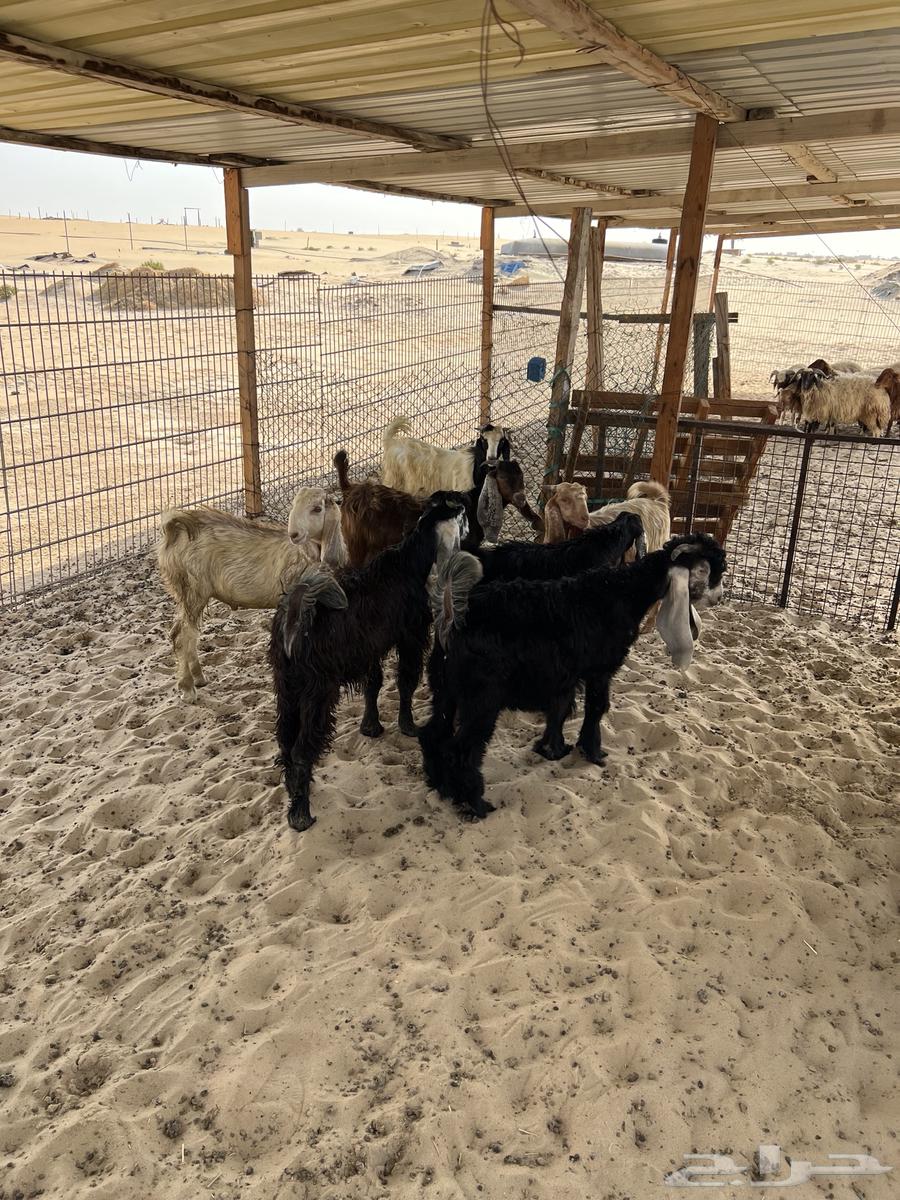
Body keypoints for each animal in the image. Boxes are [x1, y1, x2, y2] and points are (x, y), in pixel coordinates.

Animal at [158, 489, 345, 701]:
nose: (294, 534)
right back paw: (187, 687)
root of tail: (176, 526)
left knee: (185, 633)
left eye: (317, 508)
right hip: (193, 589)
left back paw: (198, 677)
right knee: (183, 635)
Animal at [270, 497, 468, 831]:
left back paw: (296, 790)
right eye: (462, 517)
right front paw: (408, 726)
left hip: (287, 688)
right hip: (317, 691)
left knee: (285, 741)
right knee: (301, 750)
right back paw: (301, 813)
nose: (469, 531)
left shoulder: (371, 648)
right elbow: (406, 681)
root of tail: (296, 617)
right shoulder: (411, 637)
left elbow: (373, 683)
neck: (408, 562)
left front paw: (371, 727)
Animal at [419, 534, 726, 820]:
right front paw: (593, 753)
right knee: (461, 749)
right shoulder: (600, 670)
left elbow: (560, 710)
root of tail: (453, 618)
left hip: (445, 688)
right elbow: (596, 708)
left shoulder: (564, 676)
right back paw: (477, 804)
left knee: (432, 733)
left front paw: (552, 749)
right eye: (708, 570)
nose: (719, 598)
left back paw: (442, 787)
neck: (622, 593)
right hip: (481, 696)